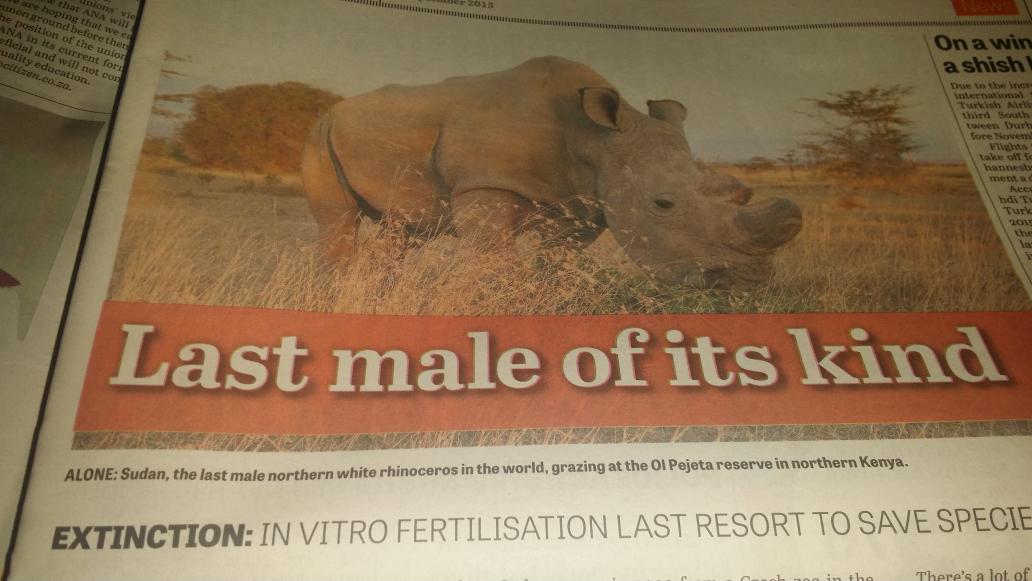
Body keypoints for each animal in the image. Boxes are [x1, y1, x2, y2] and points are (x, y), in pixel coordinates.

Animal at [302, 56, 801, 289]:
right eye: (663, 204)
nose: (746, 283)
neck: (595, 138)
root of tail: (335, 108)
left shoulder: (589, 201)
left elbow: (559, 258)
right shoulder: (485, 183)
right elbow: (494, 257)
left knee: (405, 227)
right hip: (321, 131)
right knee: (339, 219)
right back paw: (336, 294)